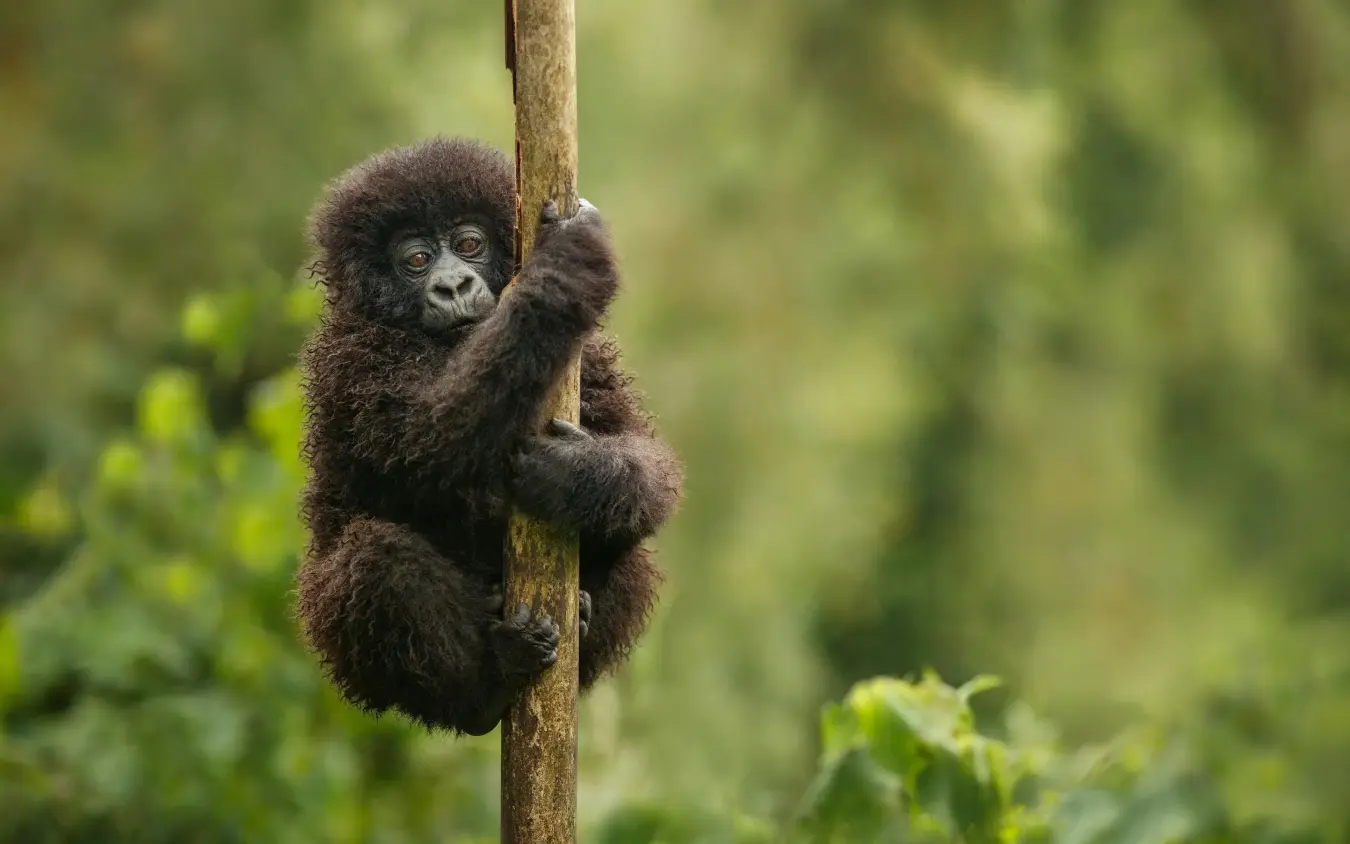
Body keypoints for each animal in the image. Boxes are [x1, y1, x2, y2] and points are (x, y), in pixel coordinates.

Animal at [293, 136, 682, 736]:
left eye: (469, 244)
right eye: (416, 260)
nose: (453, 284)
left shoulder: (590, 357)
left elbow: (646, 460)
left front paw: (575, 476)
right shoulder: (351, 360)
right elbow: (434, 438)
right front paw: (565, 267)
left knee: (632, 548)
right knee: (376, 559)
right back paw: (486, 687)